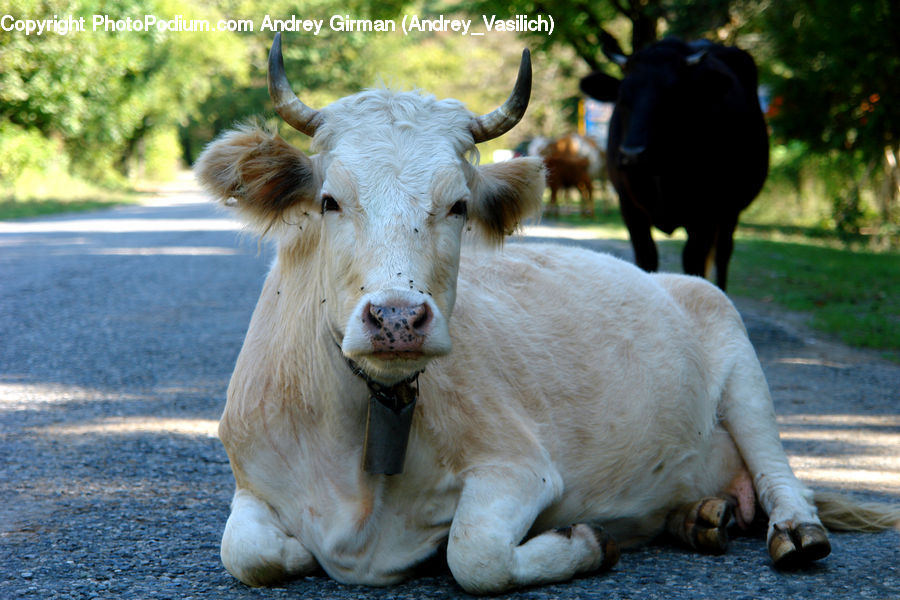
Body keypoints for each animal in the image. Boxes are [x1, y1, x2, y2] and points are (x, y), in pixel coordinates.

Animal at [579, 38, 770, 290]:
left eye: (672, 96)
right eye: (621, 97)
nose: (632, 154)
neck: (662, 172)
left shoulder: (707, 211)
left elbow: (693, 261)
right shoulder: (629, 205)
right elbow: (646, 256)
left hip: (731, 209)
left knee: (723, 254)